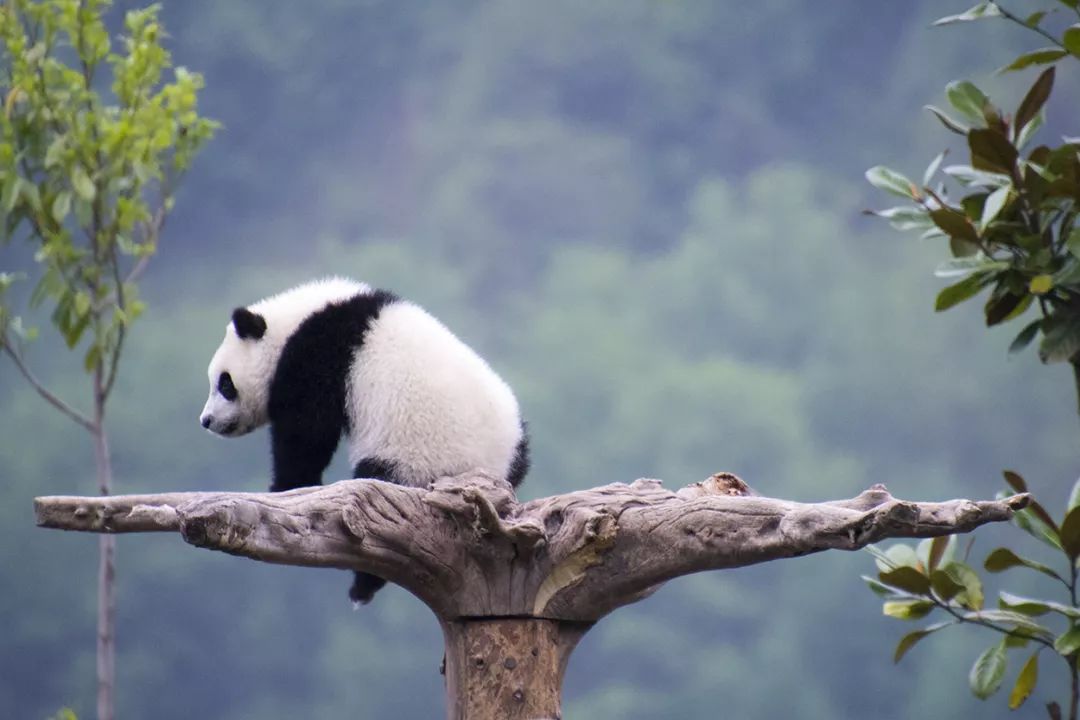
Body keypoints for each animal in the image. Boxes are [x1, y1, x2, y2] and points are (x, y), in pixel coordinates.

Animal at [199, 278, 531, 604]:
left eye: (225, 384)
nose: (207, 421)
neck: (294, 322)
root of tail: (489, 470)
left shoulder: (316, 357)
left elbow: (306, 432)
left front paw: (286, 487)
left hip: (413, 457)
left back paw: (362, 587)